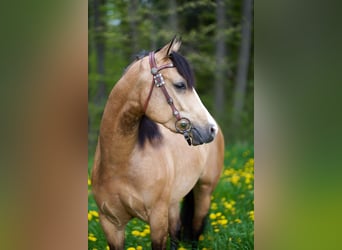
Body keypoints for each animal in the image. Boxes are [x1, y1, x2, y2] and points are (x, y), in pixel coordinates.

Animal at [91, 37, 224, 250]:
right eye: (180, 85)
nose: (210, 129)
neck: (119, 163)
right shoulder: (111, 224)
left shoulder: (157, 221)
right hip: (174, 201)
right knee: (177, 231)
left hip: (204, 190)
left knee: (195, 228)